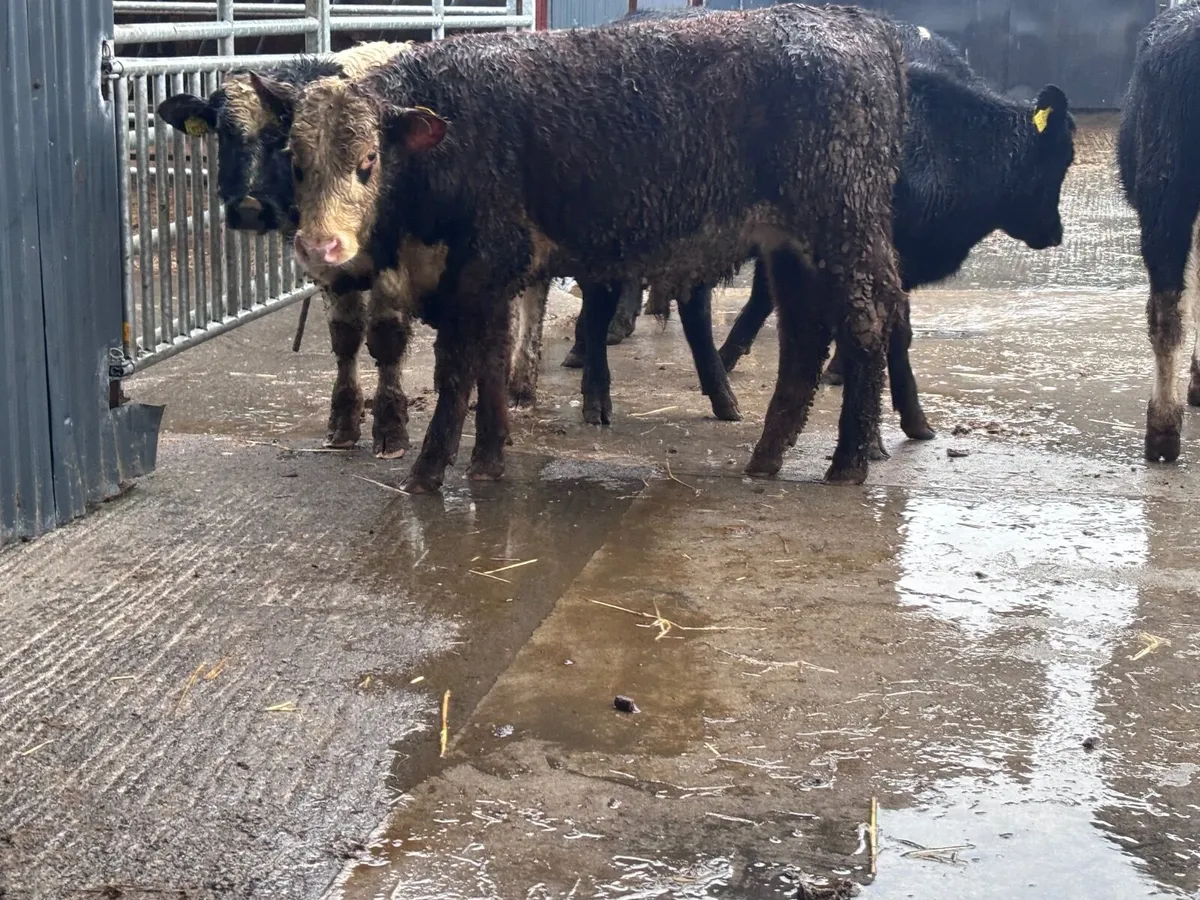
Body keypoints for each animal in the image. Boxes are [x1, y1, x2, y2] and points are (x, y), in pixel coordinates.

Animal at [252, 4, 909, 493]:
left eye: (368, 161)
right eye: (296, 161)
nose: (319, 245)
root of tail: (859, 24)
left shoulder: (481, 266)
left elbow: (458, 369)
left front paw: (429, 470)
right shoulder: (491, 276)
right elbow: (493, 360)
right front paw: (490, 458)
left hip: (843, 230)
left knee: (865, 323)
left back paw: (848, 463)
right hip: (792, 246)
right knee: (804, 337)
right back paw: (767, 457)